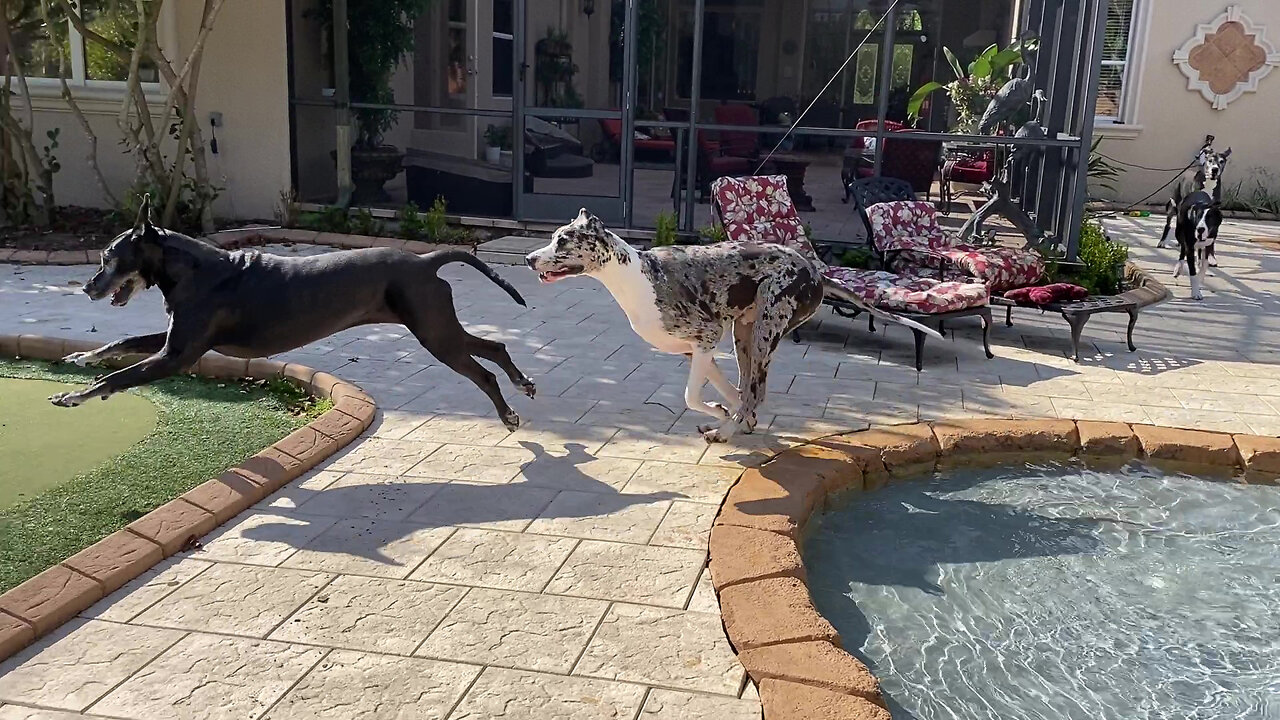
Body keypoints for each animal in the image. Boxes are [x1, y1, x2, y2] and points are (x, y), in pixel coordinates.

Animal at [51, 196, 535, 427]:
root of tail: (424, 261)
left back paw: (507, 413)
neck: (196, 270)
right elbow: (122, 342)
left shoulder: (177, 356)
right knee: (493, 345)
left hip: (434, 332)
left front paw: (75, 395)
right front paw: (82, 358)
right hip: (437, 324)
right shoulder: (176, 340)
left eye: (109, 257)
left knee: (483, 370)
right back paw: (522, 383)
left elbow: (120, 377)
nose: (88, 288)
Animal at [527, 208, 819, 443]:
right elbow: (732, 393)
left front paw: (727, 419)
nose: (529, 259)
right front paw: (731, 415)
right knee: (748, 389)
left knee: (756, 393)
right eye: (554, 237)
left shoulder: (707, 337)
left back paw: (724, 433)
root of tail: (812, 269)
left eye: (562, 241)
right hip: (744, 337)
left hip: (763, 336)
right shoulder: (693, 350)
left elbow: (693, 397)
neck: (637, 276)